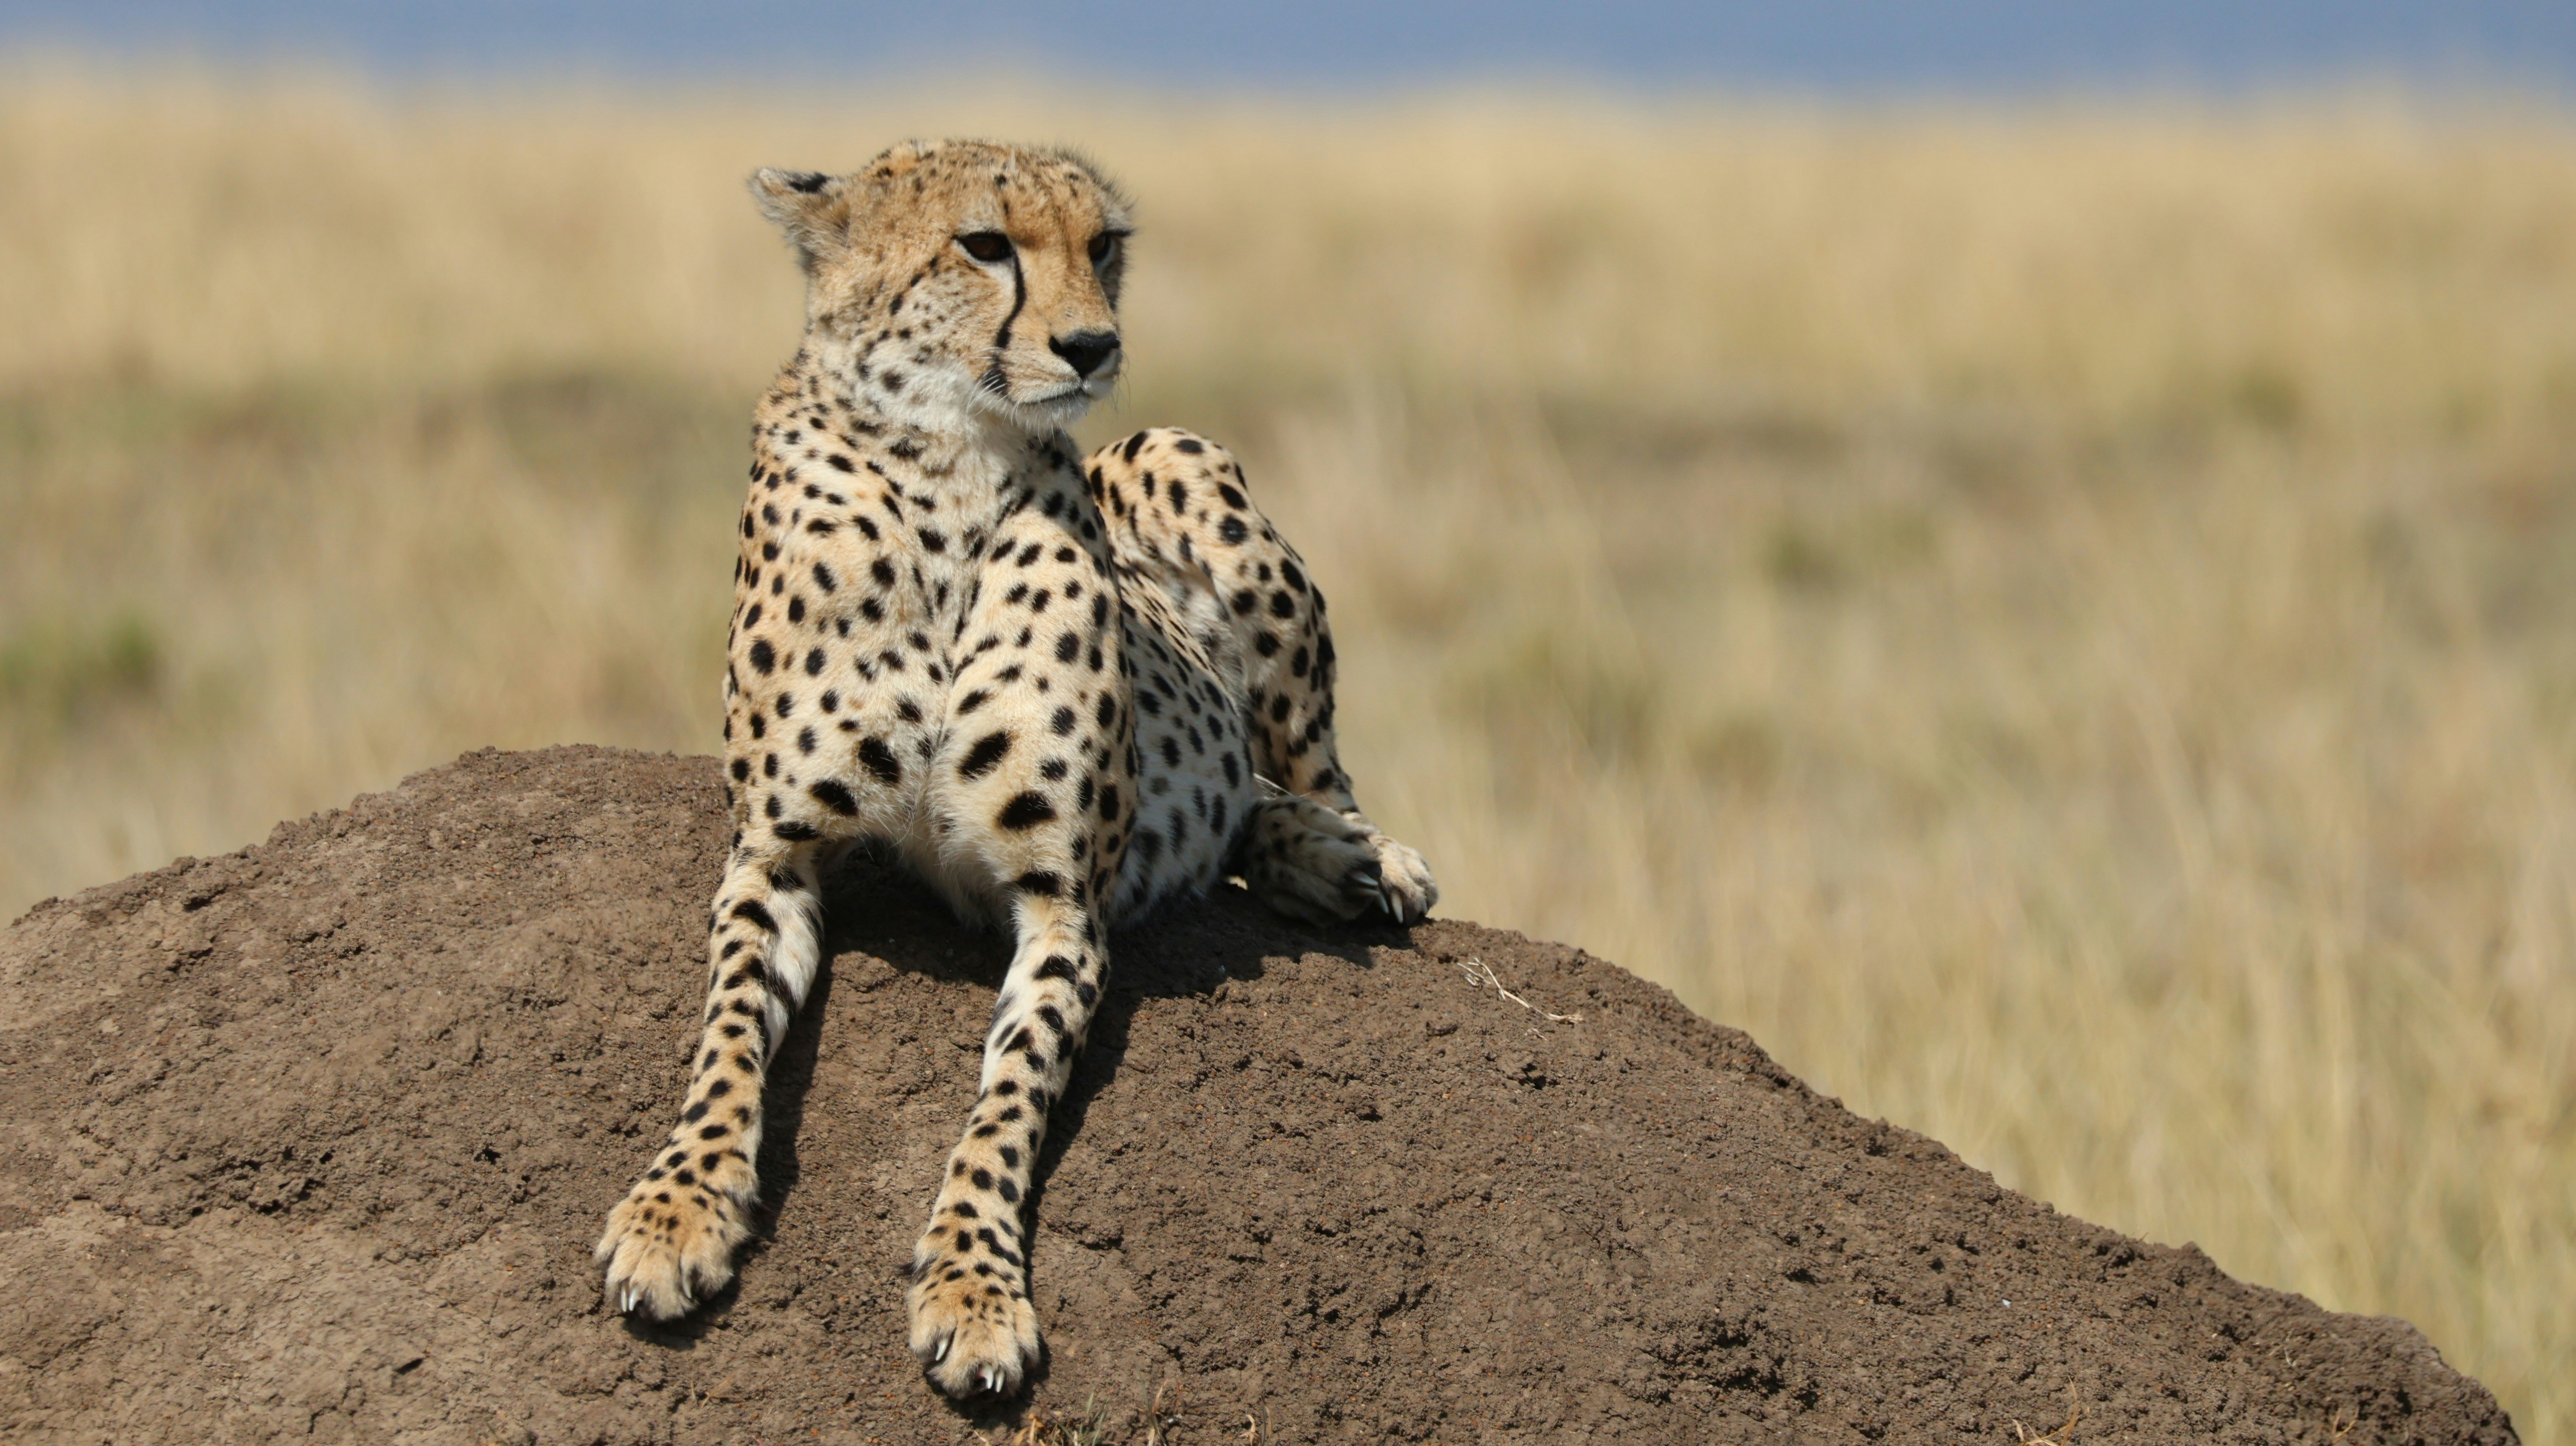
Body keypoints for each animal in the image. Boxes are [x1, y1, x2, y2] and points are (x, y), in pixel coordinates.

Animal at [593, 139, 1438, 1400]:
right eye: (985, 245)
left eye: (1106, 245)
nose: (1092, 345)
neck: (944, 465)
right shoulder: (772, 857)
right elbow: (727, 1033)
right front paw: (677, 1210)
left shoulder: (1061, 903)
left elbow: (1005, 1105)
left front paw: (973, 1291)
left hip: (1185, 464)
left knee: (1305, 777)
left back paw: (1358, 858)